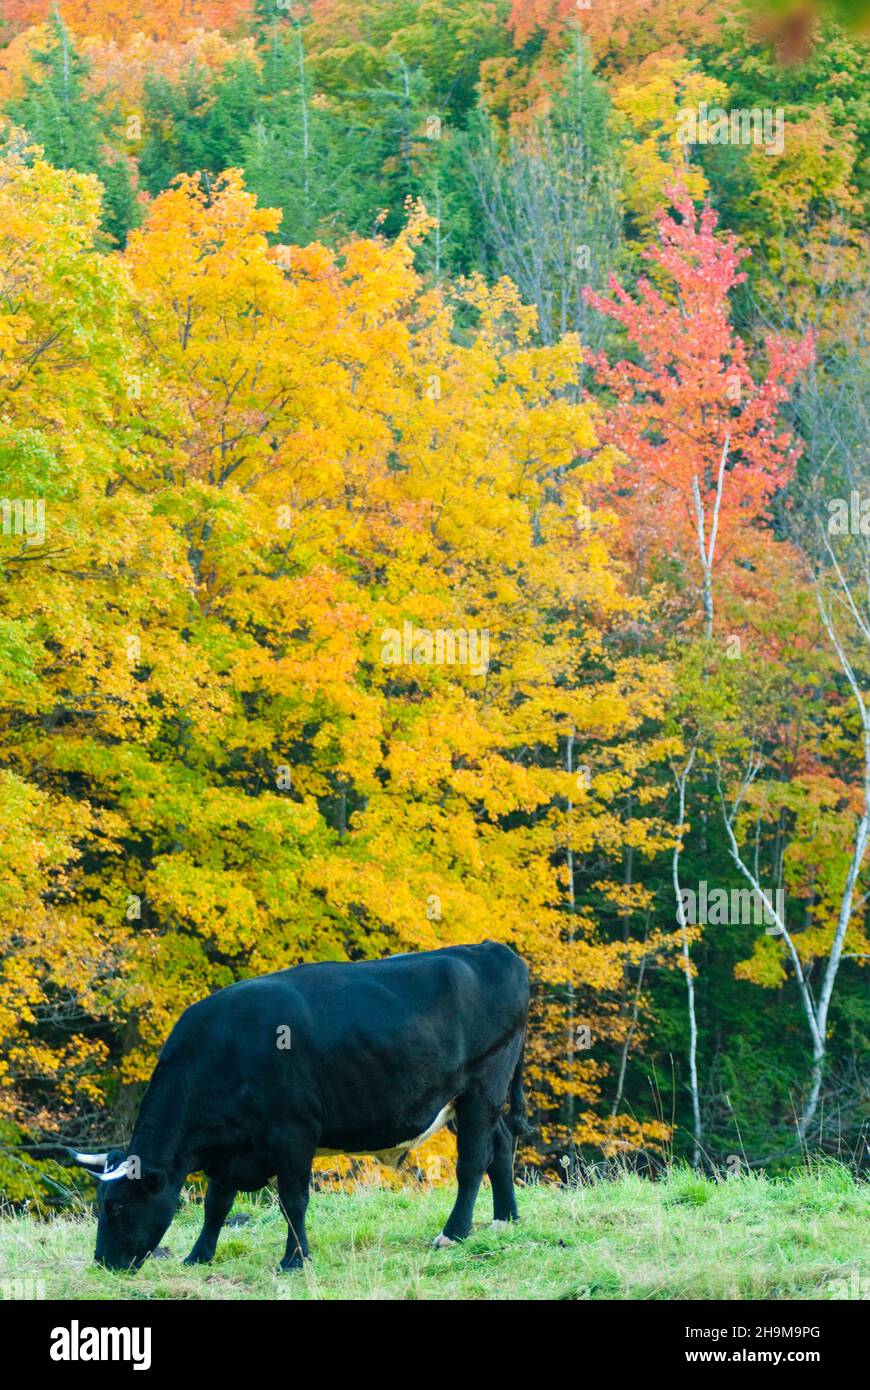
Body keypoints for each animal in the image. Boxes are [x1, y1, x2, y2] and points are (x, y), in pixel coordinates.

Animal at [71, 945, 525, 1273]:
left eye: (116, 1207)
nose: (104, 1263)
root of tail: (492, 948)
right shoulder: (229, 1151)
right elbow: (217, 1204)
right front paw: (198, 1256)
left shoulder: (293, 1135)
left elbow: (294, 1200)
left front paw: (294, 1259)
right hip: (466, 1101)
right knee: (501, 1146)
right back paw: (506, 1218)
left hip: (482, 1086)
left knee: (473, 1162)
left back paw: (455, 1233)